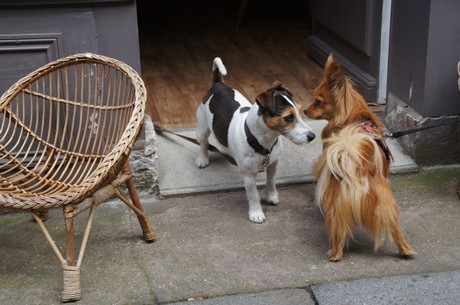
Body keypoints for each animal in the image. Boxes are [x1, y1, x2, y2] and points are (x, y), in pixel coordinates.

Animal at [304, 54, 416, 262]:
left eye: (318, 102)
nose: (305, 111)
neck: (354, 117)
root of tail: (359, 170)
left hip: (337, 207)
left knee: (337, 232)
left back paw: (334, 253)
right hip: (386, 205)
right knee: (394, 229)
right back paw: (405, 250)